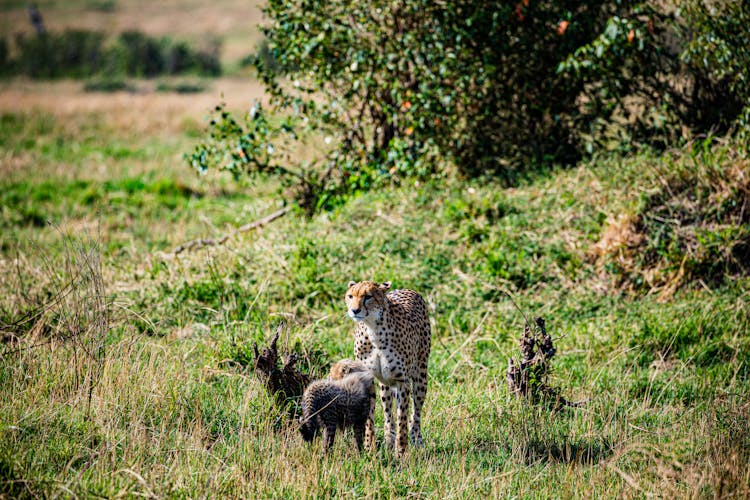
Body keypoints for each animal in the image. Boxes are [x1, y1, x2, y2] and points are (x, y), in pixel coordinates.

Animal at [346, 280, 432, 456]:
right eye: (350, 296)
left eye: (368, 296)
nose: (354, 310)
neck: (373, 329)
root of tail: (408, 289)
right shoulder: (368, 378)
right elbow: (370, 418)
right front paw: (369, 449)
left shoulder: (402, 381)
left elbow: (403, 419)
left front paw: (402, 452)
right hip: (385, 385)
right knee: (388, 415)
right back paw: (388, 440)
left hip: (420, 376)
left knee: (416, 412)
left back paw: (416, 440)